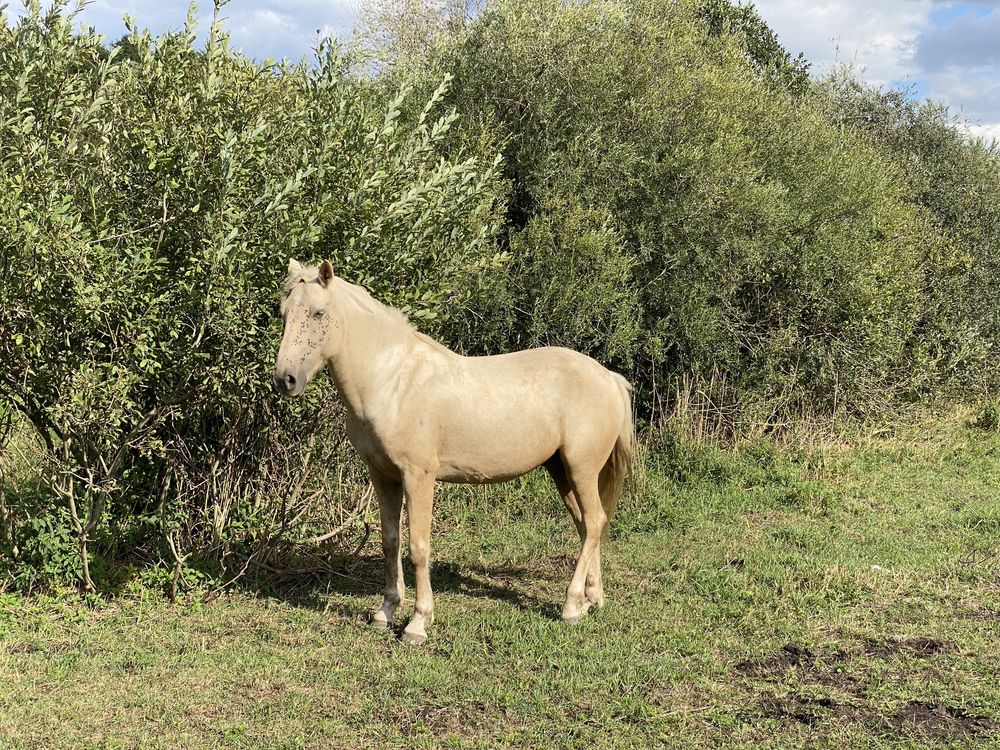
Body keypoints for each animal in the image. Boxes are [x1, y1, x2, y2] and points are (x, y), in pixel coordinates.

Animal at [274, 260, 632, 648]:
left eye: (318, 313)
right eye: (284, 312)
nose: (285, 380)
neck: (393, 380)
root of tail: (608, 377)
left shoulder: (419, 476)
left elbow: (418, 547)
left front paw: (417, 624)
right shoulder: (383, 476)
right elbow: (390, 541)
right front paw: (386, 612)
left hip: (581, 469)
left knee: (594, 523)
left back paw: (570, 606)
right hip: (561, 471)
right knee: (587, 525)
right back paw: (591, 599)